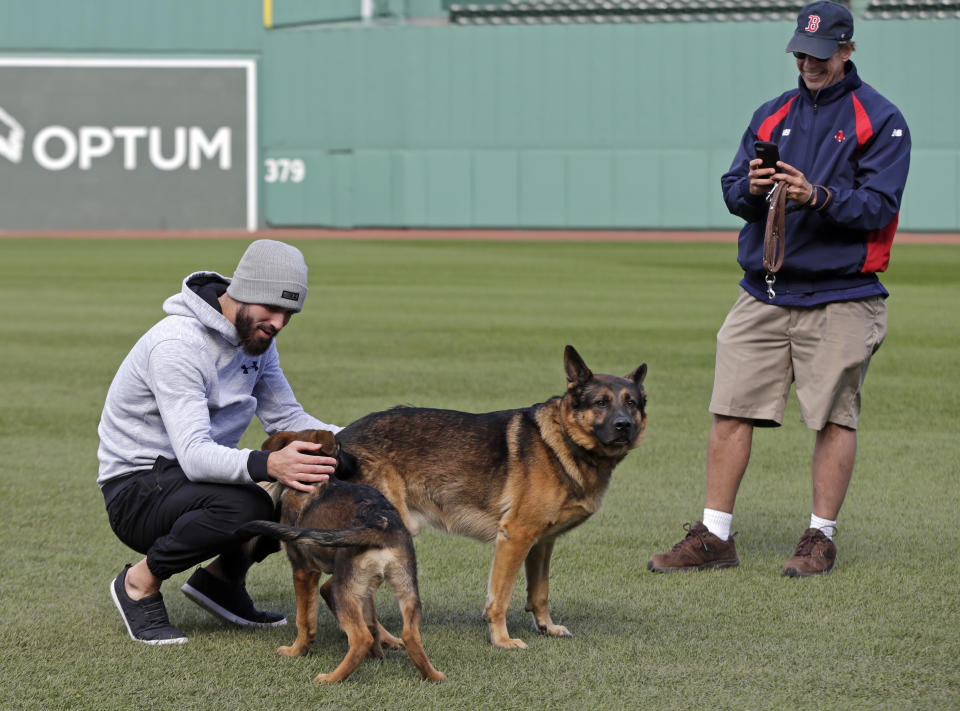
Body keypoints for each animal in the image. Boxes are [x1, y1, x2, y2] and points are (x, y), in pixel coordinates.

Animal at [244, 428, 446, 684]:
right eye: (341, 450)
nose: (357, 462)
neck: (315, 481)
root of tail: (379, 523)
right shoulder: (366, 588)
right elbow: (373, 622)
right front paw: (378, 655)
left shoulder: (304, 571)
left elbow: (305, 619)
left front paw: (295, 651)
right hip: (402, 586)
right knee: (409, 634)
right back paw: (432, 675)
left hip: (344, 589)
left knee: (361, 637)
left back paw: (332, 677)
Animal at [334, 344, 648, 652]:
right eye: (601, 403)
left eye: (631, 403)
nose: (623, 425)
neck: (562, 439)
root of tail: (340, 440)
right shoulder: (514, 538)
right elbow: (501, 597)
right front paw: (501, 639)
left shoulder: (542, 544)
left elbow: (540, 592)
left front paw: (546, 627)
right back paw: (383, 638)